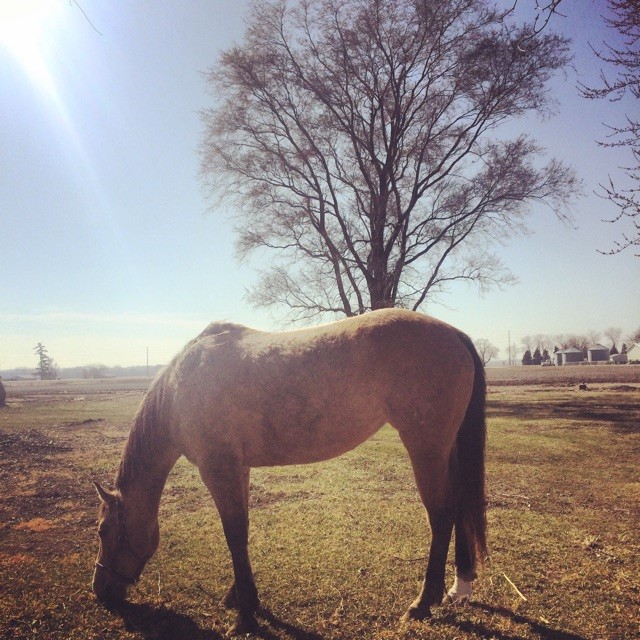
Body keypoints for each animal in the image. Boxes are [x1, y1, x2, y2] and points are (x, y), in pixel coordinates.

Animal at [92, 308, 488, 632]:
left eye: (103, 531)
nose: (99, 591)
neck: (180, 391)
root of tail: (453, 333)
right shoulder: (238, 469)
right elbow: (241, 531)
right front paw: (240, 596)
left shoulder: (218, 470)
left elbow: (233, 533)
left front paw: (246, 615)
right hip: (444, 449)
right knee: (458, 508)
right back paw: (458, 586)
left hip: (426, 448)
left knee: (441, 516)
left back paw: (422, 604)